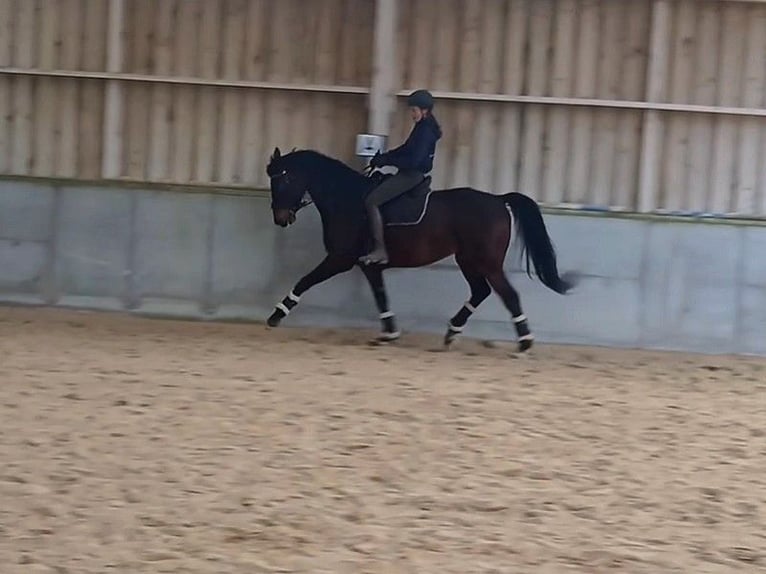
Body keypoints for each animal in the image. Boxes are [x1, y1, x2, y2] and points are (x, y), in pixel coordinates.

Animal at [264, 147, 577, 352]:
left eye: (284, 179)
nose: (280, 218)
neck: (345, 198)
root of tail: (499, 200)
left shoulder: (340, 258)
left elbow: (305, 281)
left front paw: (276, 315)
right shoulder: (368, 264)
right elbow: (381, 297)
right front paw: (389, 333)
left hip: (487, 261)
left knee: (508, 294)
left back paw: (524, 342)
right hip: (467, 259)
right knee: (481, 291)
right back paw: (452, 332)